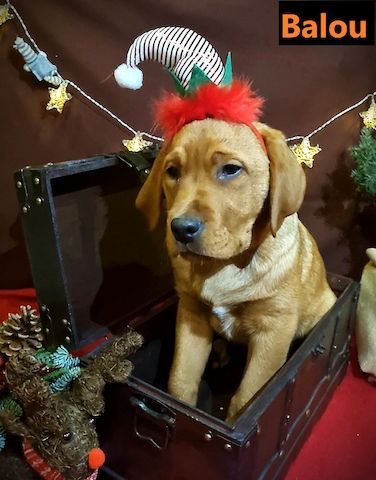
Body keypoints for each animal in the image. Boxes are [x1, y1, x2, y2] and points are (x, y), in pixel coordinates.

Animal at [137, 119, 336, 420]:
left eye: (231, 170)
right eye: (172, 172)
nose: (180, 229)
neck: (224, 264)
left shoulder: (272, 329)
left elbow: (246, 396)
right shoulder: (190, 314)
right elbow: (181, 379)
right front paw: (180, 407)